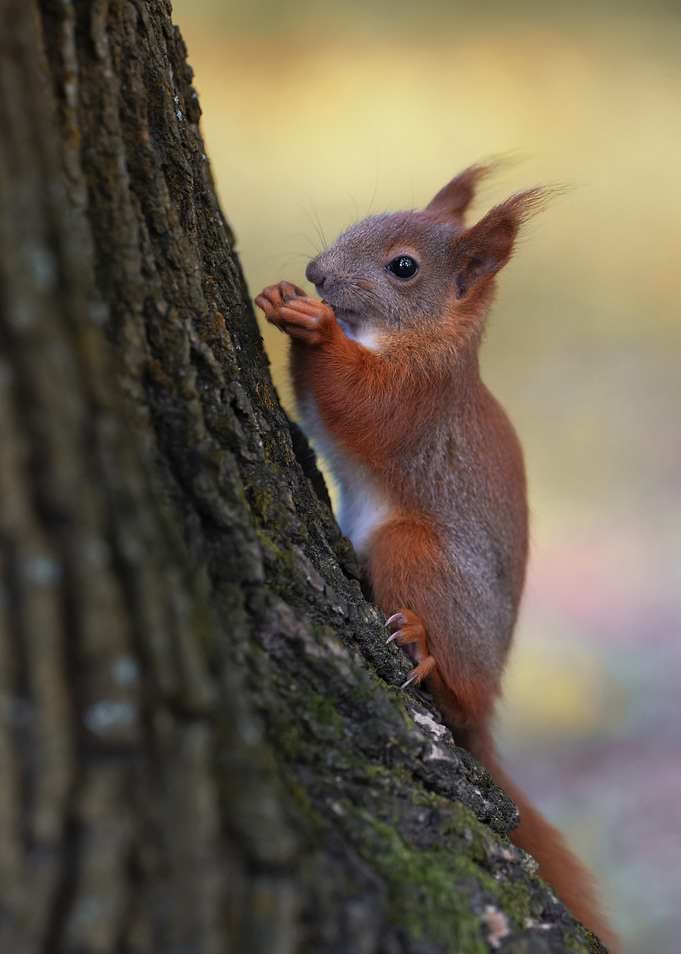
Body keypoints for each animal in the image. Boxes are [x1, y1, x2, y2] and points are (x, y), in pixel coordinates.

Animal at [255, 162, 616, 950]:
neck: (413, 340)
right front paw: (282, 298)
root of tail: (487, 705)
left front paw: (315, 327)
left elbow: (357, 403)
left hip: (410, 550)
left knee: (451, 689)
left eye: (403, 268)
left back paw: (423, 647)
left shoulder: (416, 401)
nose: (316, 273)